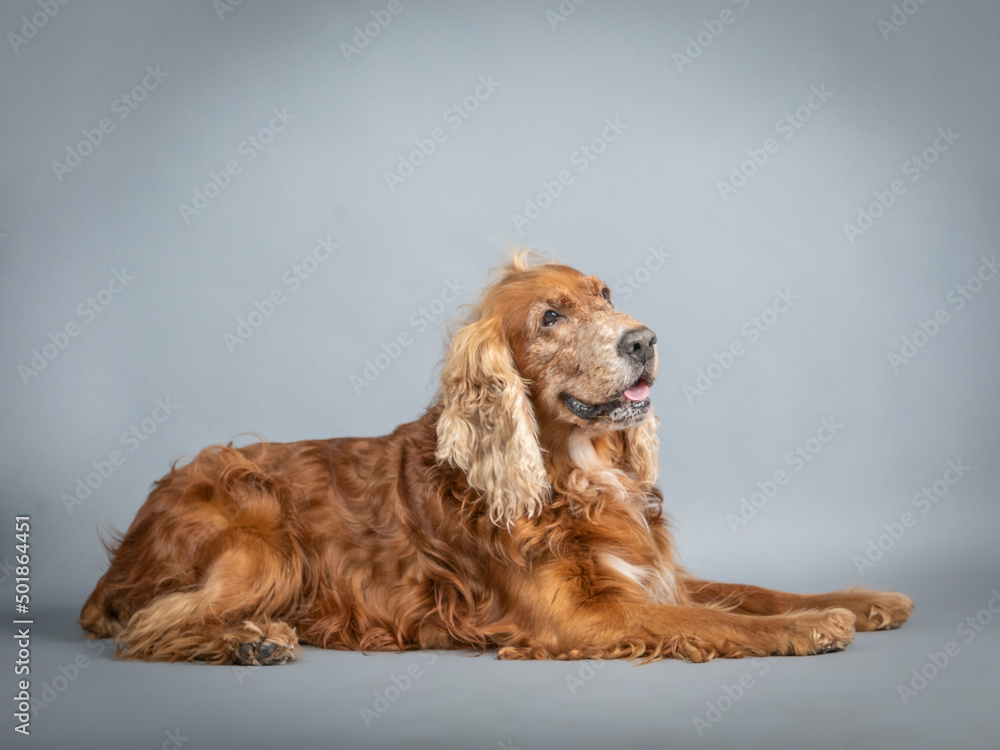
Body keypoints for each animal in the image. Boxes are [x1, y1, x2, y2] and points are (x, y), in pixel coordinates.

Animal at [78, 253, 912, 664]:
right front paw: (811, 628)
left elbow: (750, 591)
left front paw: (862, 600)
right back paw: (250, 640)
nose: (643, 339)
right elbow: (713, 620)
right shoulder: (582, 615)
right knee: (146, 629)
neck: (574, 471)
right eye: (549, 319)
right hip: (259, 527)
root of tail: (117, 561)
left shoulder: (652, 571)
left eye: (605, 293)